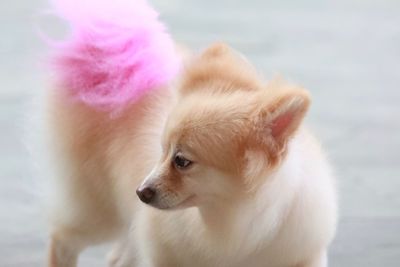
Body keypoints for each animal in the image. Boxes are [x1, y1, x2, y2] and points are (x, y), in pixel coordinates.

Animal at [43, 0, 338, 266]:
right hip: (99, 208)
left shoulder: (301, 253)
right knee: (63, 240)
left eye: (182, 161)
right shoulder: (166, 256)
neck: (233, 223)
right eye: (162, 152)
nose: (140, 192)